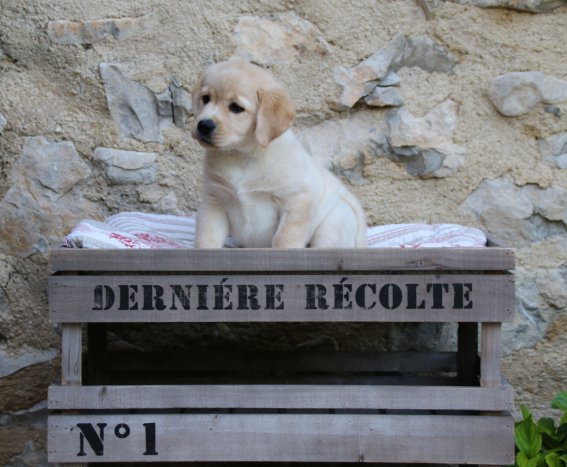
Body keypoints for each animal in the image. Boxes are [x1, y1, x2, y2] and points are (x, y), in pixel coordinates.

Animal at [191, 60, 367, 248]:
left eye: (236, 108)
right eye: (205, 98)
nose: (204, 125)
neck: (242, 156)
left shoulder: (297, 200)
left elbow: (285, 238)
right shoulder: (214, 200)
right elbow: (207, 236)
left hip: (333, 222)